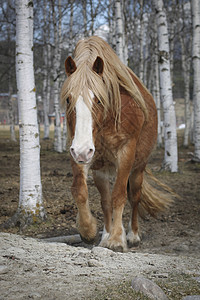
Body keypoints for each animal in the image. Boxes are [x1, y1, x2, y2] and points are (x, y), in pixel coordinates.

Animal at [61, 35, 172, 252]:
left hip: (138, 168)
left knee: (134, 197)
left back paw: (132, 235)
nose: (81, 151)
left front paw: (117, 239)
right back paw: (105, 233)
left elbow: (119, 195)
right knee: (105, 201)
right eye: (69, 99)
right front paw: (88, 230)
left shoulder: (125, 153)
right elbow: (80, 191)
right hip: (100, 169)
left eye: (98, 100)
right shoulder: (81, 152)